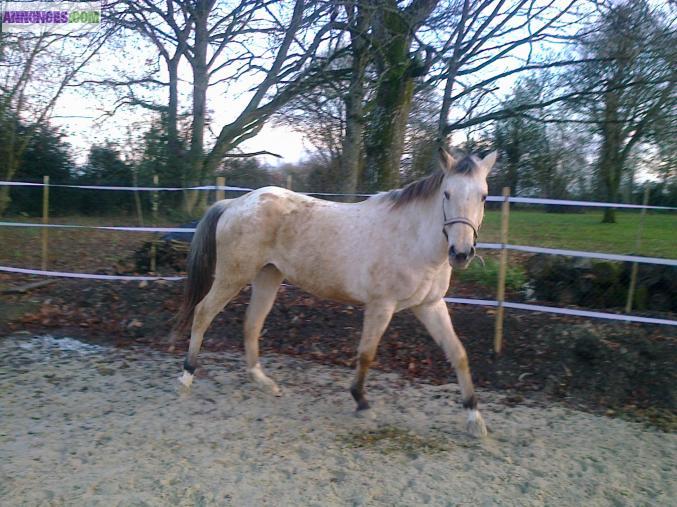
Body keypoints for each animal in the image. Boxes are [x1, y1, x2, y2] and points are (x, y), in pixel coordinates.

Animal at [170, 147, 496, 436]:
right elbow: (366, 354)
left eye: (483, 196)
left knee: (252, 324)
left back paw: (263, 381)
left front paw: (474, 418)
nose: (461, 253)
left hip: (267, 277)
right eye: (447, 194)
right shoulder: (381, 305)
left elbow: (458, 354)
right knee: (203, 313)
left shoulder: (430, 305)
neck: (413, 239)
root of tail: (235, 203)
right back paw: (186, 376)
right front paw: (361, 402)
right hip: (233, 276)